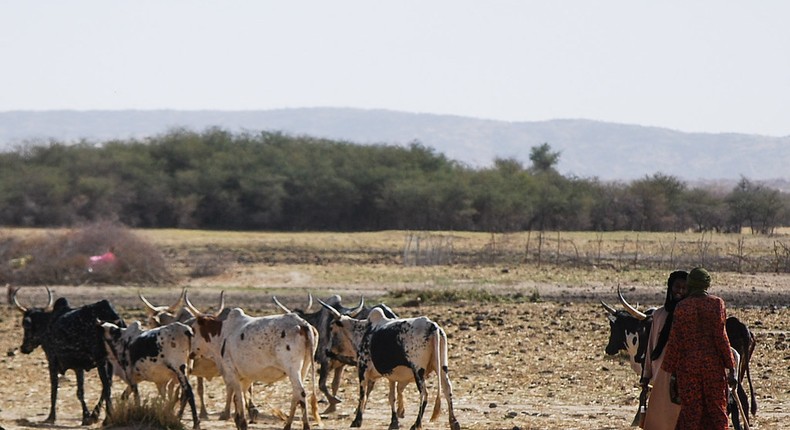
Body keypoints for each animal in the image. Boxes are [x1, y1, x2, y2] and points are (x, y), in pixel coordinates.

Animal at [12, 288, 124, 424]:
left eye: (25, 326)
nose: (23, 348)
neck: (48, 323)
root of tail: (115, 318)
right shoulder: (78, 366)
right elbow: (80, 391)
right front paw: (87, 416)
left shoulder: (52, 360)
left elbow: (55, 389)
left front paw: (51, 416)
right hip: (111, 362)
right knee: (107, 386)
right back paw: (96, 415)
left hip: (101, 361)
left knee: (106, 385)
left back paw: (107, 417)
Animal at [186, 296, 322, 430]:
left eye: (193, 330)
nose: (190, 353)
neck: (221, 334)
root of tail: (302, 324)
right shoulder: (245, 377)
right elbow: (239, 397)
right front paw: (239, 420)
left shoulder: (232, 372)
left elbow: (239, 398)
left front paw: (242, 422)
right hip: (304, 368)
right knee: (296, 395)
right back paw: (287, 425)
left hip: (292, 369)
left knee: (301, 393)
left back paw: (305, 426)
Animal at [320, 300, 460, 430]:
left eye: (331, 327)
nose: (327, 351)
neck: (364, 331)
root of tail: (432, 326)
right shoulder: (392, 376)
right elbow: (392, 397)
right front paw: (393, 422)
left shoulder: (363, 368)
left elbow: (362, 395)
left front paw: (357, 421)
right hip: (442, 367)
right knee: (448, 389)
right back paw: (454, 422)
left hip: (418, 370)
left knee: (424, 394)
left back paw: (416, 424)